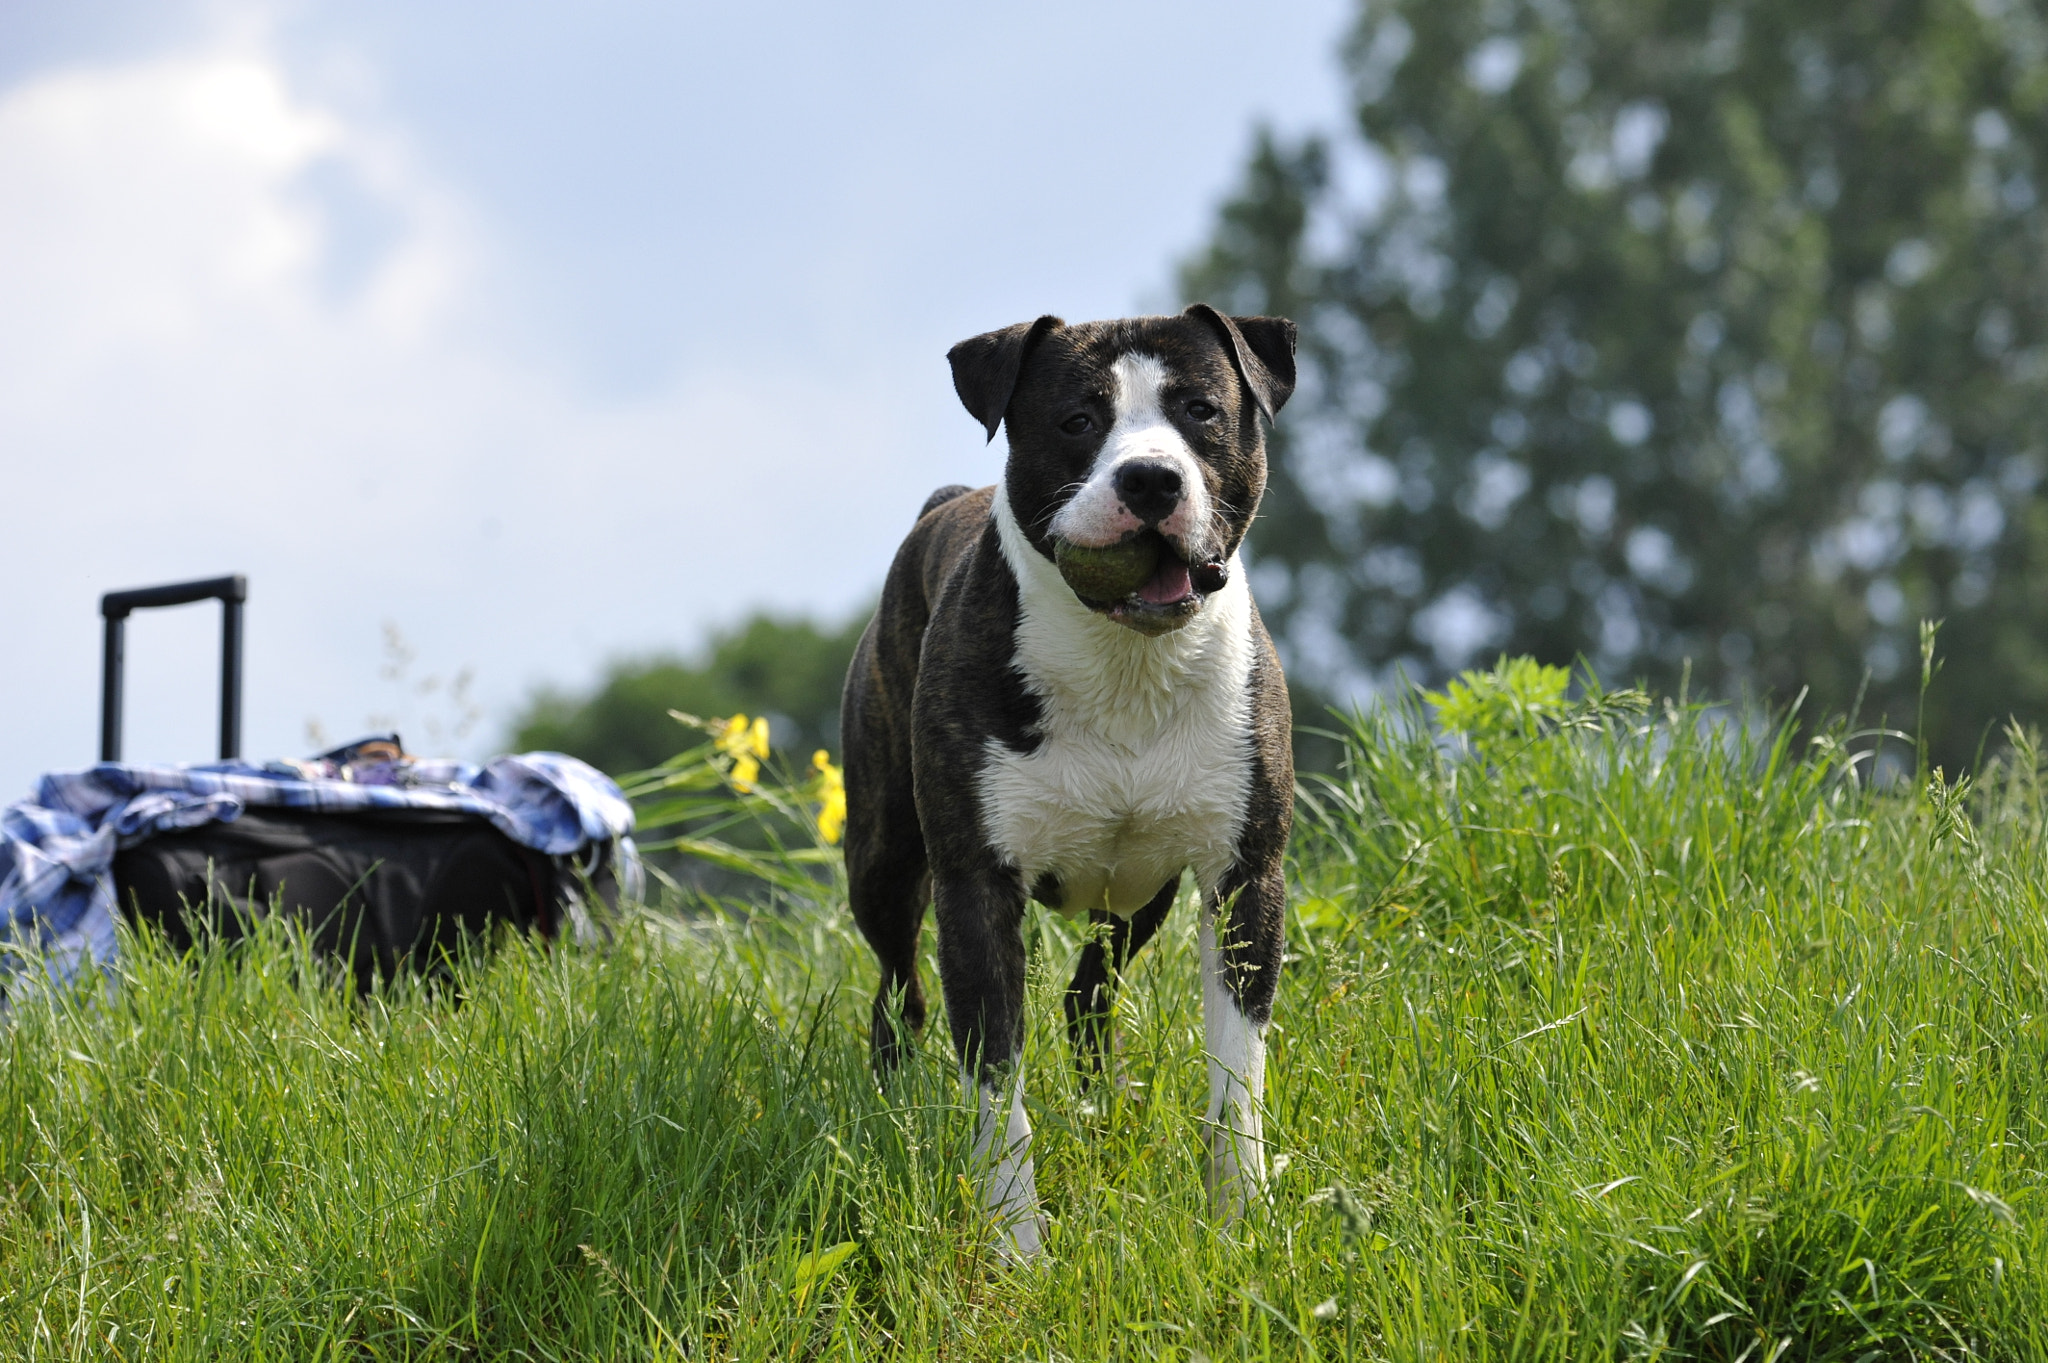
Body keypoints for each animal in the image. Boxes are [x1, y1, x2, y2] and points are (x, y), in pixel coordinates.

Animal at [835, 300, 1294, 1252]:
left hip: (1142, 892)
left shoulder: (1244, 876)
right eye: (1078, 421)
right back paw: (895, 1103)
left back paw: (1098, 1113)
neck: (1125, 660)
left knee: (1088, 994)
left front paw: (1242, 1220)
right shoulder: (975, 889)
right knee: (899, 993)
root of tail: (943, 501)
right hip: (885, 862)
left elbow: (1238, 1069)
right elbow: (996, 1081)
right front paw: (1017, 1246)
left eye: (1201, 411)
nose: (1151, 479)